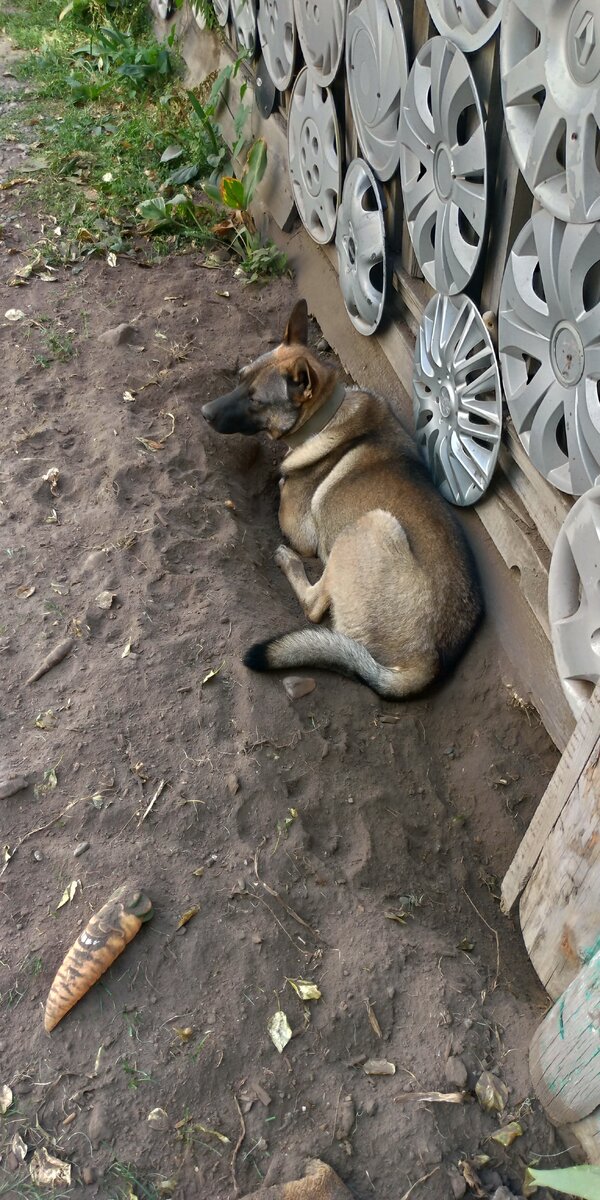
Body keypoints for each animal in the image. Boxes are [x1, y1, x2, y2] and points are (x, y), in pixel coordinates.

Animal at [201, 296, 482, 700]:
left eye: (256, 400)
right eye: (239, 379)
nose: (204, 413)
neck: (327, 417)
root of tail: (427, 662)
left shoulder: (298, 529)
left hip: (370, 525)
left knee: (315, 606)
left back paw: (290, 563)